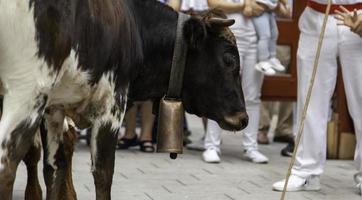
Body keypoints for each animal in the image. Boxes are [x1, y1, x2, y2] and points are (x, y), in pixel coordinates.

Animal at [0, 0, 247, 200]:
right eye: (229, 59)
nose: (243, 117)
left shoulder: (55, 109)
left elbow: (53, 168)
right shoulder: (111, 106)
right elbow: (103, 172)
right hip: (27, 91)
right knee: (7, 164)